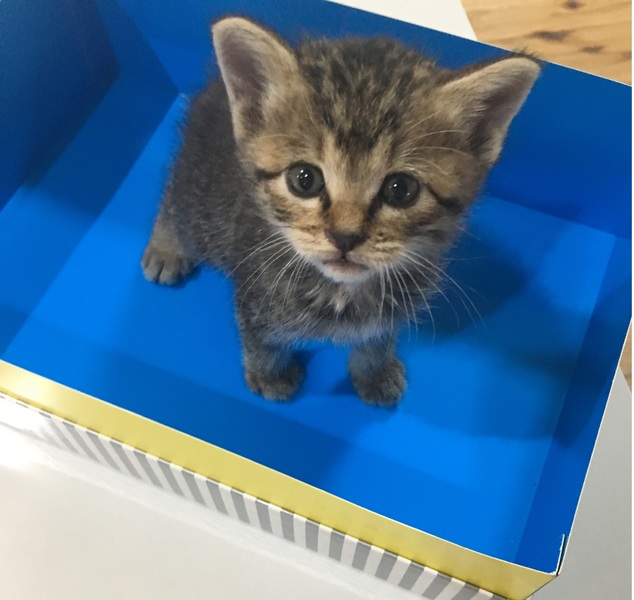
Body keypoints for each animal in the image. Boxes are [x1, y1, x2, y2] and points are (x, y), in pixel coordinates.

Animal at [142, 16, 540, 406]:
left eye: (401, 190)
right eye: (304, 180)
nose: (344, 236)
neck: (341, 292)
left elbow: (378, 338)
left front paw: (374, 372)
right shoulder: (253, 291)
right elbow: (258, 337)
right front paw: (270, 374)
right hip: (203, 205)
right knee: (174, 200)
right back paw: (165, 247)